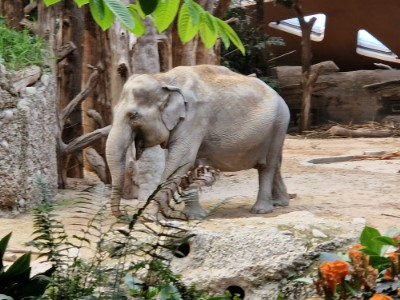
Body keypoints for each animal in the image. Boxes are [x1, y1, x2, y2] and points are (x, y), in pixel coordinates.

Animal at [104, 64, 290, 218]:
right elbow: (188, 165)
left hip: (279, 123)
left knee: (267, 166)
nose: (123, 215)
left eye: (133, 115)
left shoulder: (194, 119)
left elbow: (181, 161)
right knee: (276, 163)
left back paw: (261, 210)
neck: (163, 78)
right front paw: (193, 216)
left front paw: (148, 216)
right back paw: (280, 203)